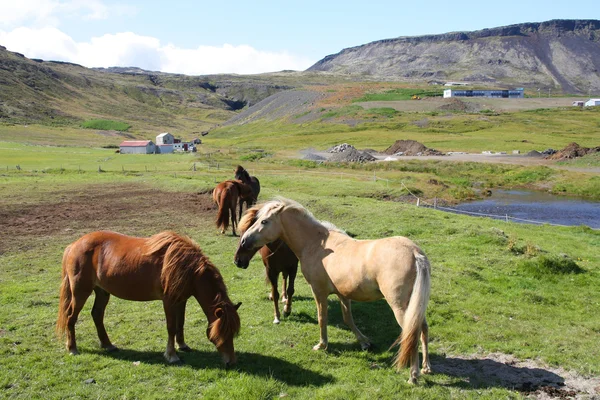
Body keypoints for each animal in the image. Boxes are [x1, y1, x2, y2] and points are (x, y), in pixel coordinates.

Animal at [56, 231, 241, 366]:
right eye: (222, 332)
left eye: (233, 332)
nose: (231, 362)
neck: (188, 268)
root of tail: (73, 245)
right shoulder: (169, 301)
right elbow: (171, 327)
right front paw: (172, 355)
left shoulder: (181, 300)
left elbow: (180, 324)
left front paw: (182, 345)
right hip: (80, 292)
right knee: (71, 317)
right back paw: (72, 348)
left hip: (102, 292)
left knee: (97, 315)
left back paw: (108, 345)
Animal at [234, 198, 432, 382]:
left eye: (264, 221)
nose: (244, 241)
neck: (316, 245)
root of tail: (415, 253)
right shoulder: (343, 294)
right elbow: (348, 319)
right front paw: (364, 343)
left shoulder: (319, 291)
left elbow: (322, 318)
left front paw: (322, 345)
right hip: (415, 306)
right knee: (423, 328)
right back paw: (425, 367)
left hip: (400, 307)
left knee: (411, 333)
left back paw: (413, 375)